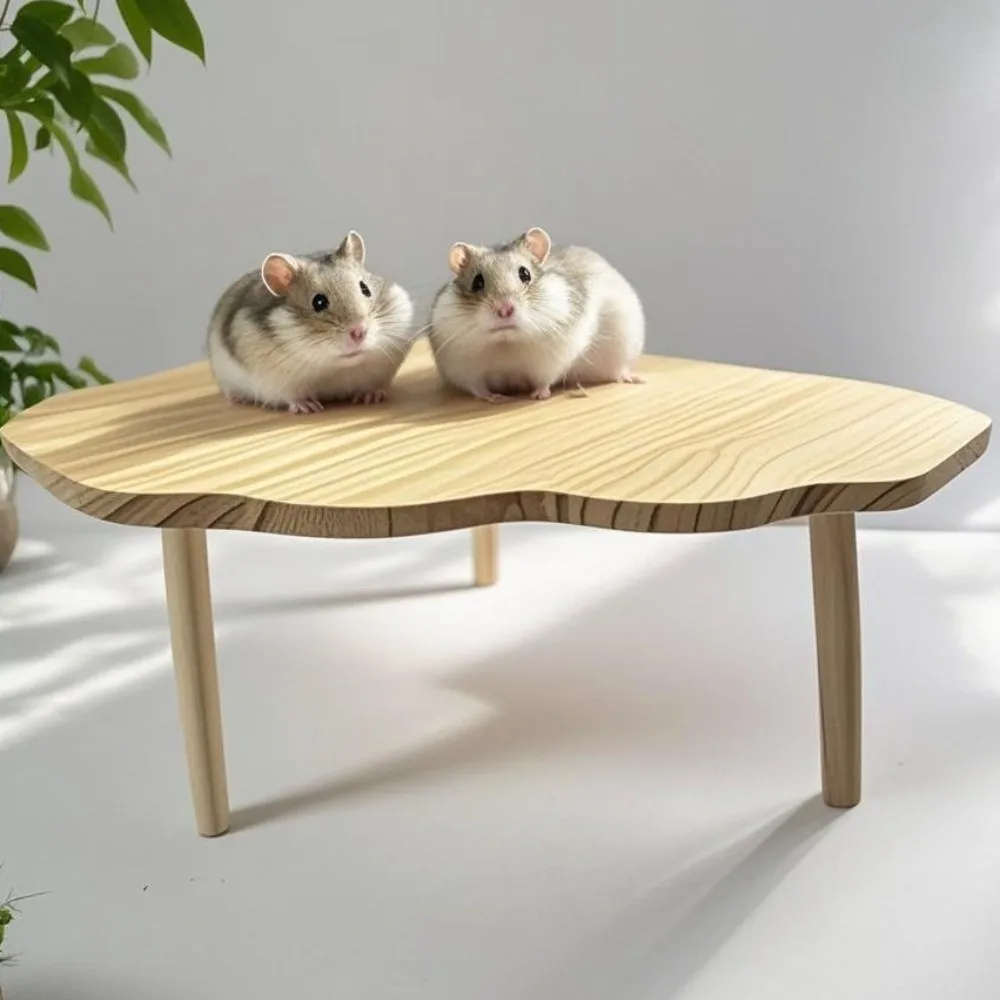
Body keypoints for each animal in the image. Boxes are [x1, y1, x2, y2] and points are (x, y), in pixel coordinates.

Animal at [207, 231, 415, 412]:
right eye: (318, 302)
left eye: (365, 289)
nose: (359, 332)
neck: (335, 367)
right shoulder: (279, 384)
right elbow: (293, 397)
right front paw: (308, 407)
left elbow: (374, 387)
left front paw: (372, 397)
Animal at [427, 227, 645, 402]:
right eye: (477, 282)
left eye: (525, 274)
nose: (504, 309)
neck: (506, 343)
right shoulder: (465, 370)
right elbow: (478, 388)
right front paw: (496, 398)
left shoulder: (551, 361)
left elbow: (544, 380)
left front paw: (538, 396)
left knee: (620, 370)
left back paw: (634, 378)